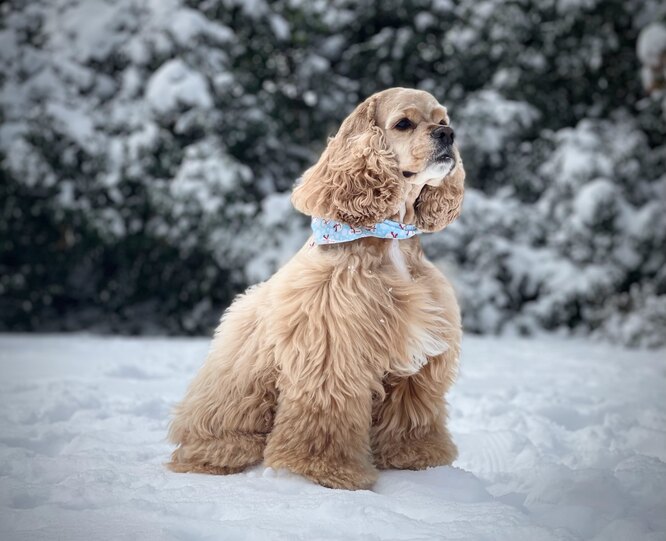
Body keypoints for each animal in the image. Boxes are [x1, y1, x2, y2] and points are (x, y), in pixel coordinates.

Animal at [169, 86, 464, 488]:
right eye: (404, 124)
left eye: (443, 120)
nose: (448, 134)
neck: (389, 236)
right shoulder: (333, 347)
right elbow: (326, 416)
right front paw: (325, 471)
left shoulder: (418, 356)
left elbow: (412, 411)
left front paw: (418, 457)